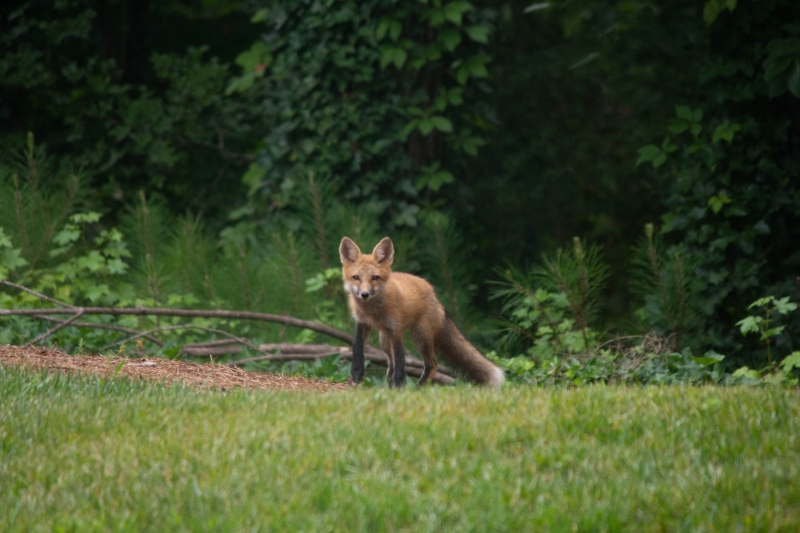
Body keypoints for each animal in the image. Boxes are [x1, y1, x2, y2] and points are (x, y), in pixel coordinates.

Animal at [339, 236, 504, 388]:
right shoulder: (362, 323)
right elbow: (357, 348)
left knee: (432, 364)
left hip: (419, 336)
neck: (372, 311)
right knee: (391, 363)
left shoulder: (396, 330)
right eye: (356, 277)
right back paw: (389, 386)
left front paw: (399, 387)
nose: (364, 294)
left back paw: (417, 388)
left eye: (375, 278)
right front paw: (357, 376)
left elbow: (401, 362)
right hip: (385, 339)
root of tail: (436, 299)